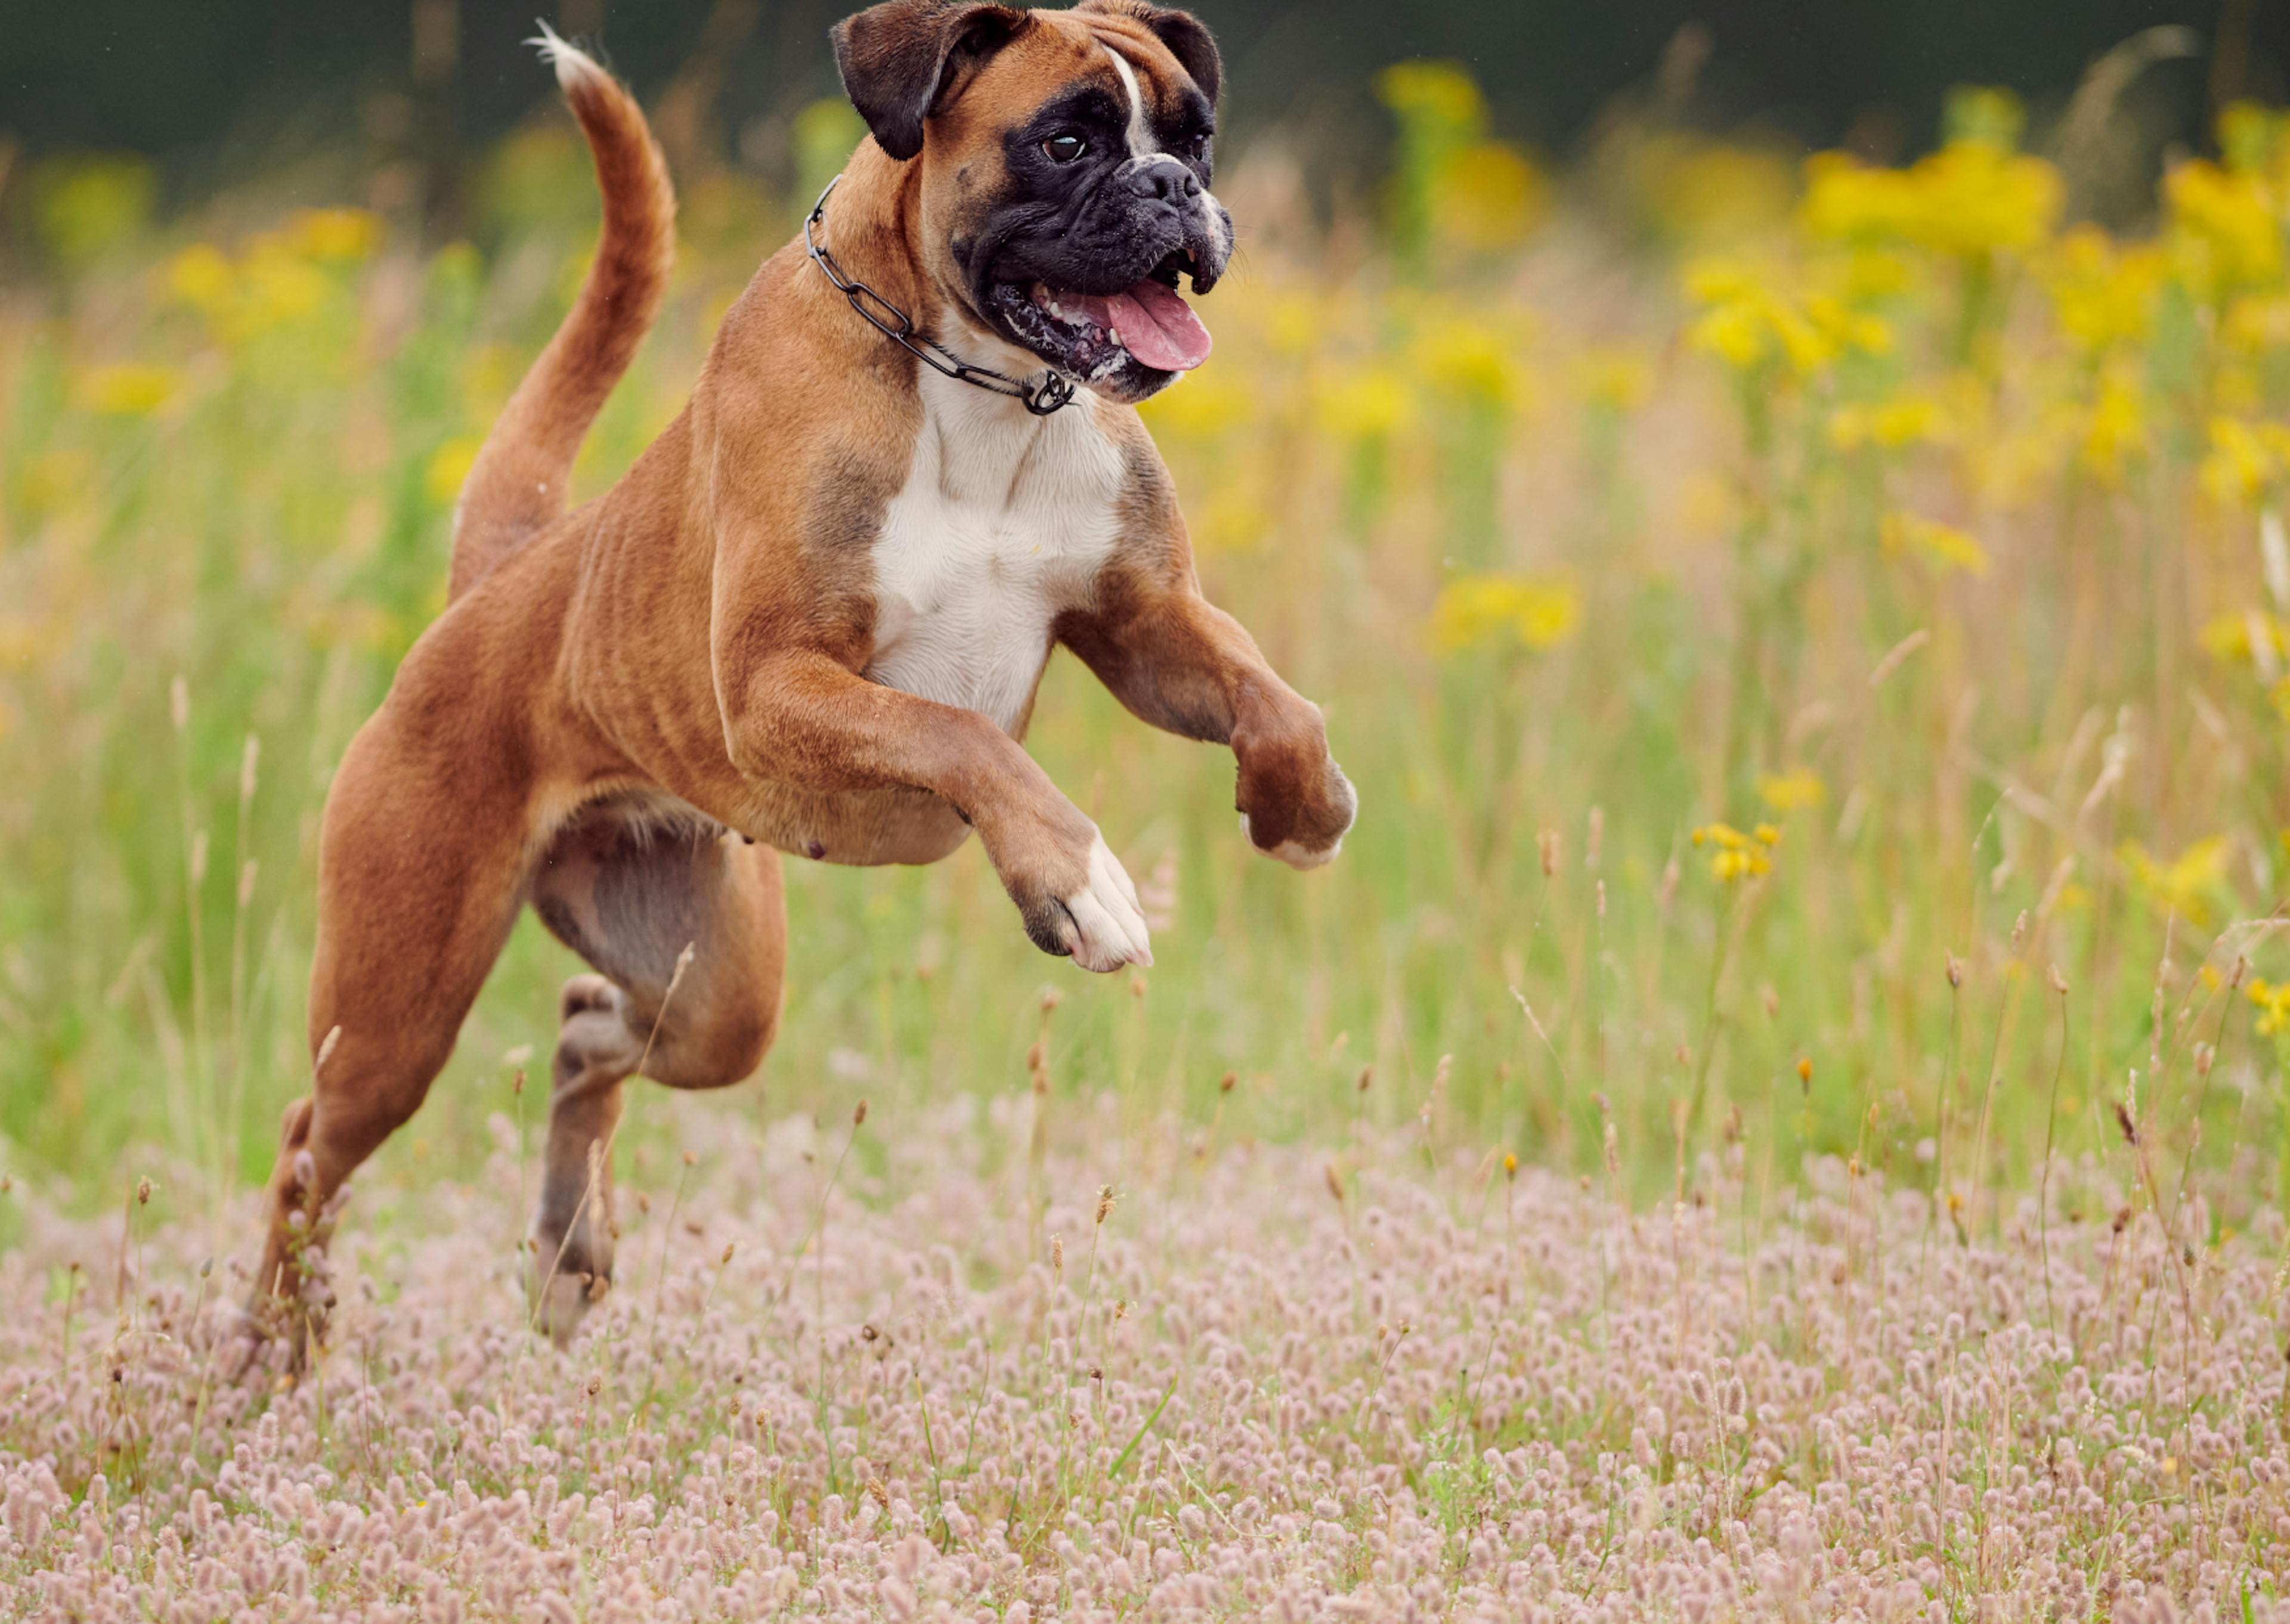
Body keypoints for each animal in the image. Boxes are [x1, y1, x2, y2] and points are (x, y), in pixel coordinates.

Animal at [246, 0, 1356, 1347]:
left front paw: (1303, 807)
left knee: (587, 1032)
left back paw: (566, 1253)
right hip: (396, 1011)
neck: (981, 384)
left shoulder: (1144, 624)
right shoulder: (778, 688)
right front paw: (1079, 884)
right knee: (310, 1148)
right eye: (1068, 140)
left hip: (714, 987)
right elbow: (965, 739)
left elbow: (1270, 696)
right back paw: (271, 1351)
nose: (1177, 189)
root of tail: (501, 580)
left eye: (1196, 137)